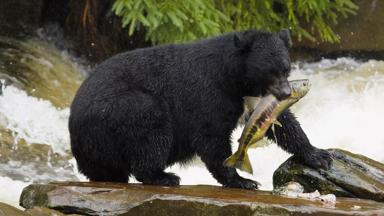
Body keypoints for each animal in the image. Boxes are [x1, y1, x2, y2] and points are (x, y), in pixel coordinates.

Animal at [70, 29, 332, 189]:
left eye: (286, 69)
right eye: (271, 71)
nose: (287, 93)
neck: (235, 78)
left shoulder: (255, 98)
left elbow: (282, 121)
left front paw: (318, 155)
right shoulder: (208, 93)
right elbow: (211, 137)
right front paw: (241, 180)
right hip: (118, 111)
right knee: (150, 125)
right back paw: (163, 176)